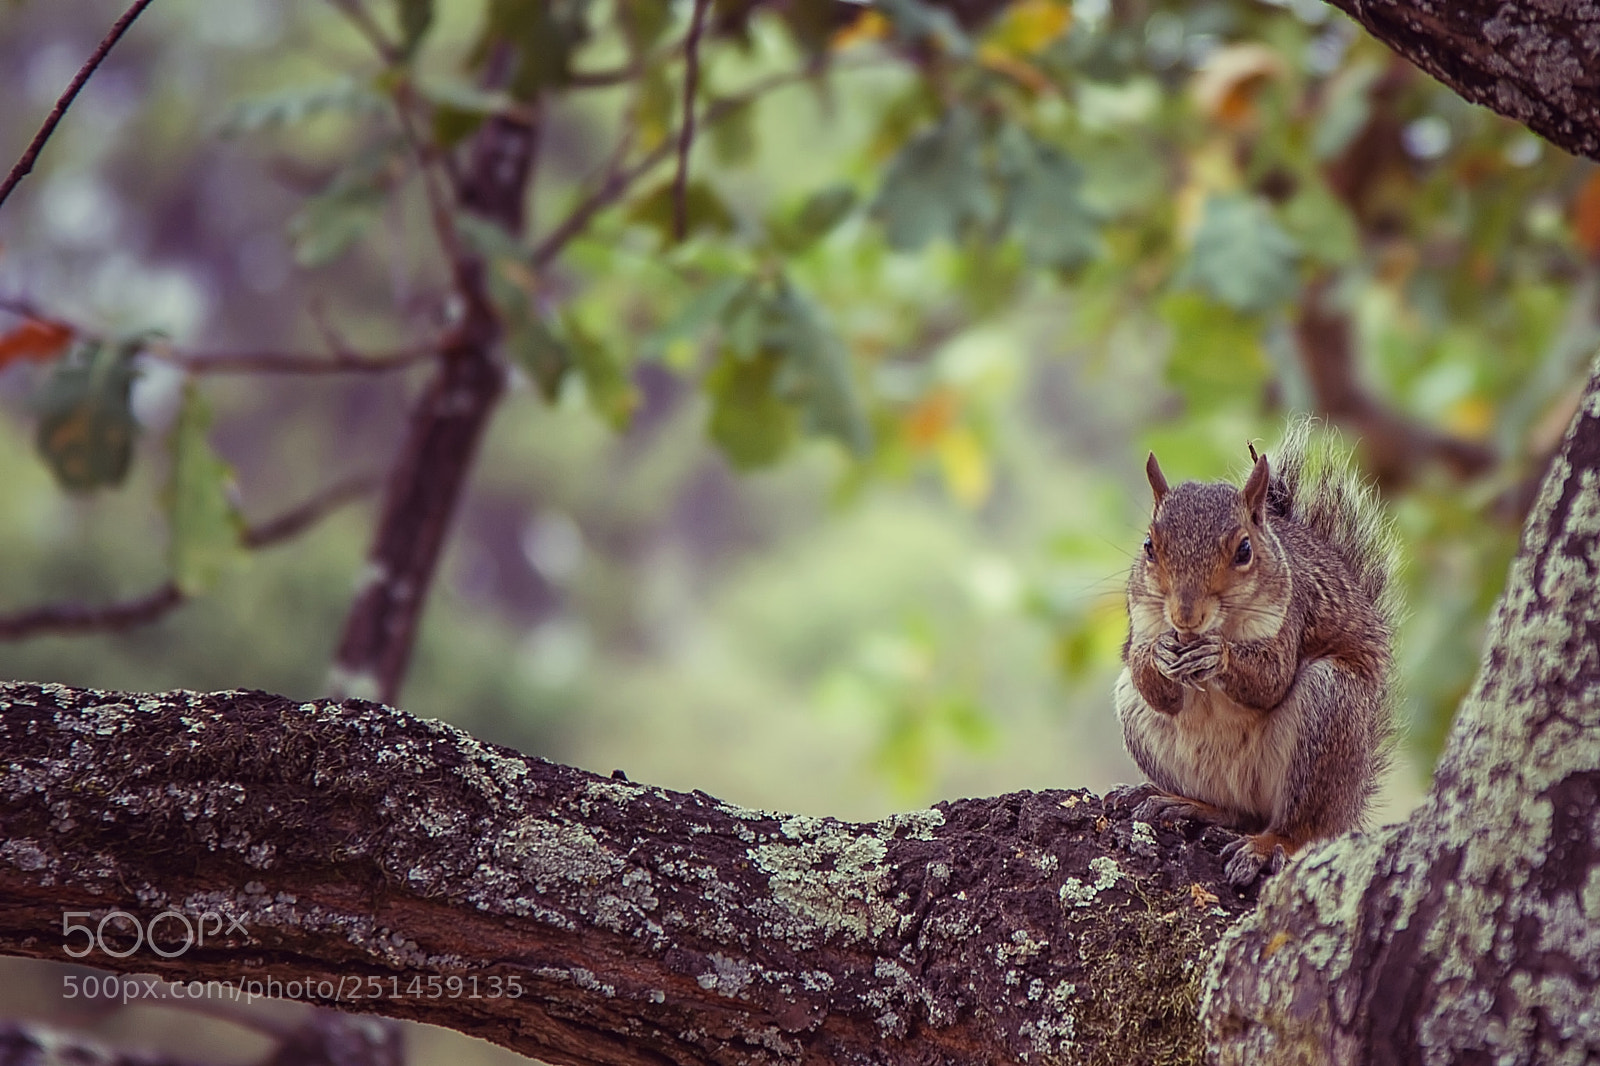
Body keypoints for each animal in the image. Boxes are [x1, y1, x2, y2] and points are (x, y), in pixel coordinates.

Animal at [1113, 419, 1399, 888]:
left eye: (1244, 550)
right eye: (1149, 546)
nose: (1186, 615)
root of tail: (1350, 806)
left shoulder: (1291, 613)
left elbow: (1270, 681)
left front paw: (1217, 655)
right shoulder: (1143, 619)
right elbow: (1151, 682)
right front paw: (1159, 655)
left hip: (1328, 707)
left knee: (1300, 828)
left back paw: (1268, 846)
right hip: (1135, 713)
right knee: (1234, 813)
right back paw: (1186, 802)